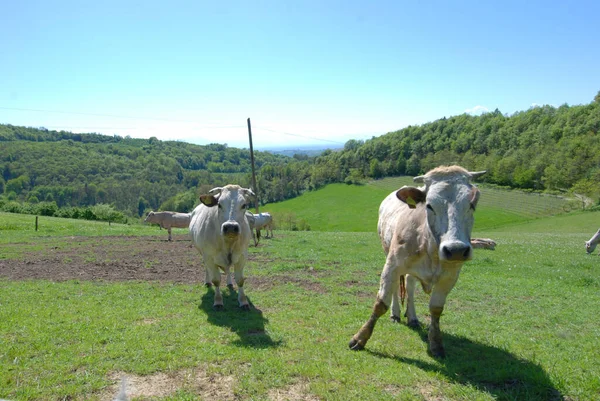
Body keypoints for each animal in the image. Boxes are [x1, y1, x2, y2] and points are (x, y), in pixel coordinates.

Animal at [350, 164, 486, 358]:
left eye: (472, 204)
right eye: (429, 205)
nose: (456, 250)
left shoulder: (450, 276)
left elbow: (436, 309)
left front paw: (436, 344)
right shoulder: (392, 265)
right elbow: (380, 303)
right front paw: (360, 338)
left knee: (409, 285)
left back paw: (412, 317)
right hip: (387, 252)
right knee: (396, 290)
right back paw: (396, 314)